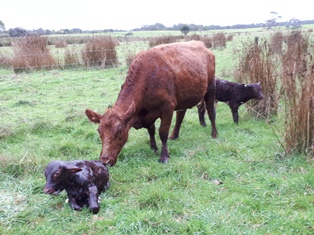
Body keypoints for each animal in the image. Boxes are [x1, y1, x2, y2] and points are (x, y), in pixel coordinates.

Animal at [86, 40, 218, 165]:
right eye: (99, 131)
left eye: (119, 131)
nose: (105, 160)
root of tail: (202, 45)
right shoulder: (148, 113)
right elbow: (151, 130)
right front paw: (153, 148)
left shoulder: (167, 107)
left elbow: (162, 132)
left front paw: (164, 156)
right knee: (181, 115)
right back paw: (174, 135)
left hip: (210, 87)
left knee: (211, 112)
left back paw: (214, 134)